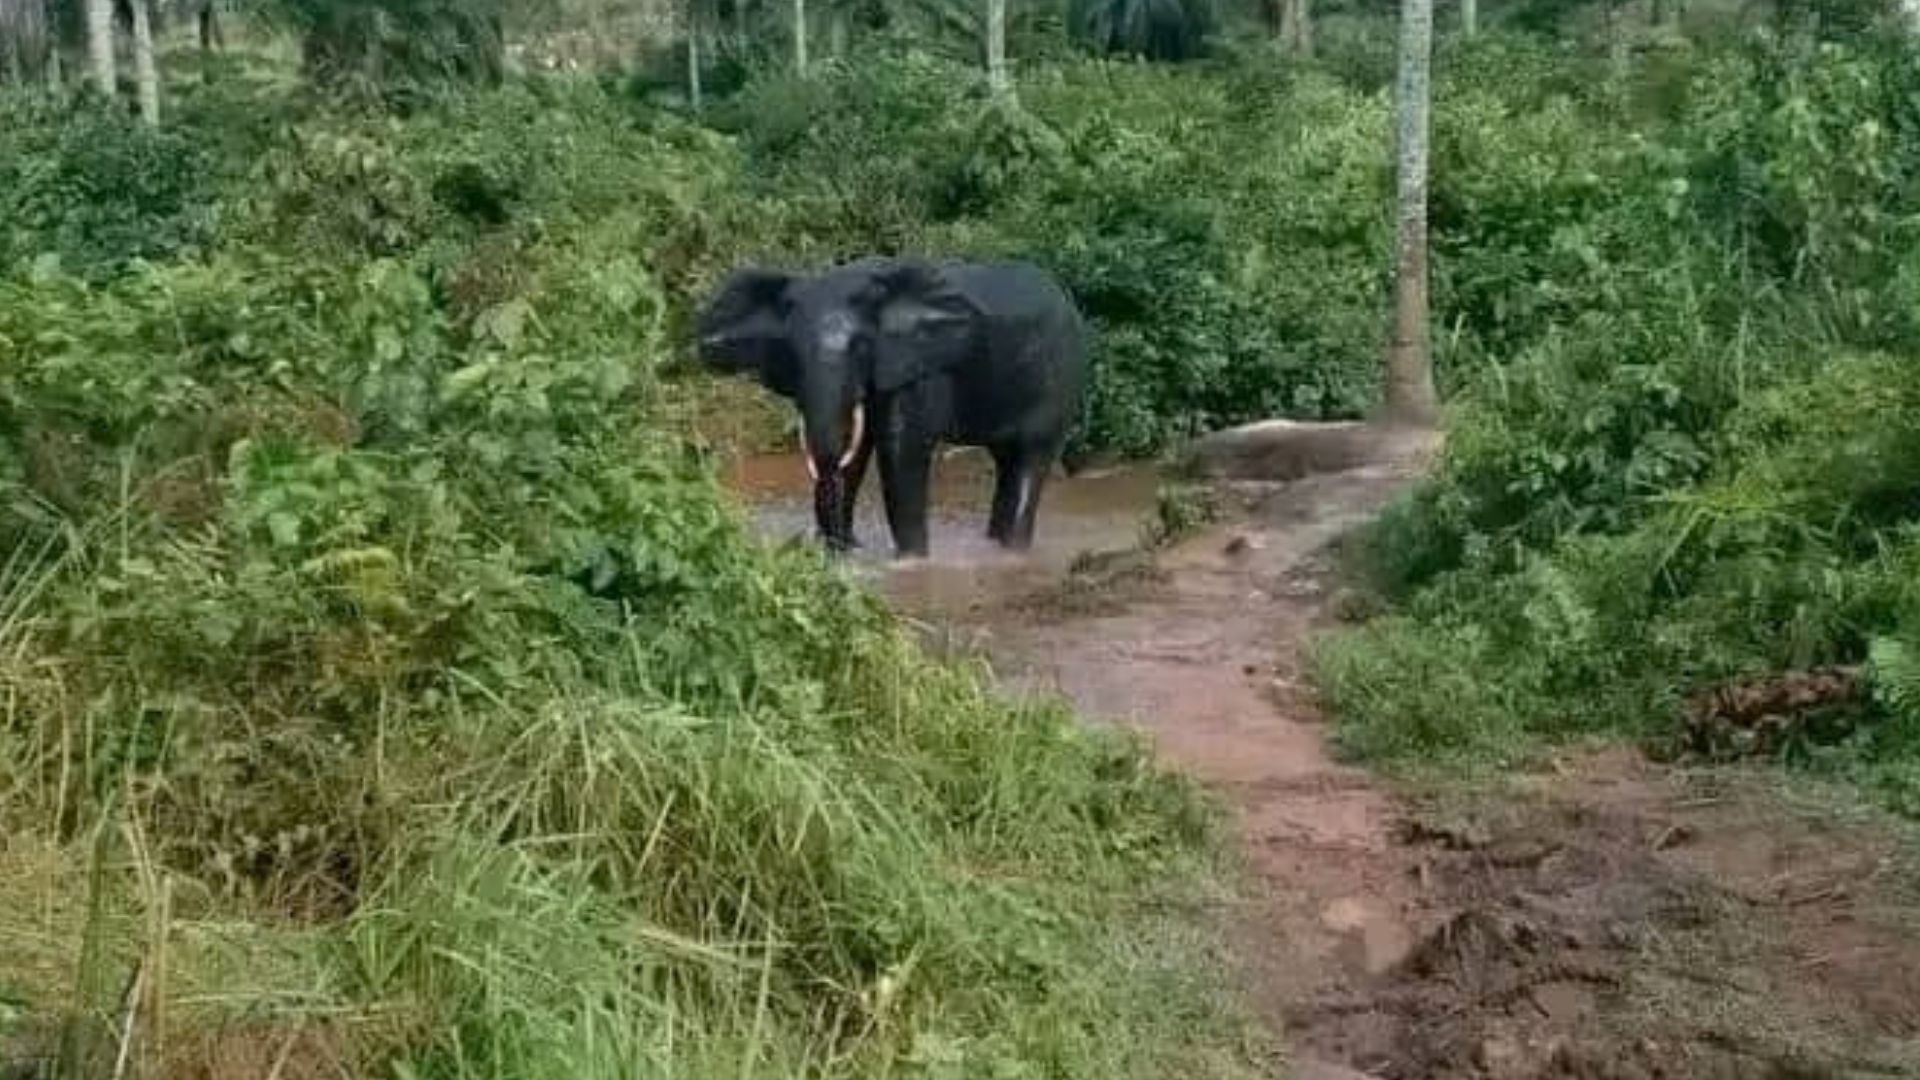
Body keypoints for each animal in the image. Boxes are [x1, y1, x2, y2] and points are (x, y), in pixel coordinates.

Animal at [696, 256, 1088, 559]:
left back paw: (1012, 552)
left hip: (1058, 375)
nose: (843, 547)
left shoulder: (917, 364)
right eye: (790, 352)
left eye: (862, 347)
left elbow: (901, 450)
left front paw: (911, 562)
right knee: (1007, 461)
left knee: (1030, 457)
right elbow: (855, 450)